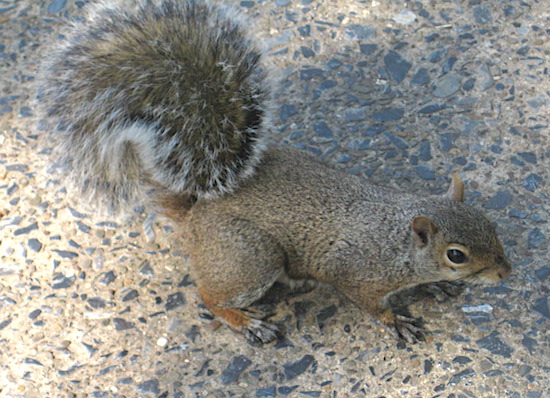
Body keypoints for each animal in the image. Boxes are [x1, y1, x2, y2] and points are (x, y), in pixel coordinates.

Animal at [37, 0, 512, 344]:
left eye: (491, 225)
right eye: (456, 254)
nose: (505, 273)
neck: (397, 241)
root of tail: (195, 213)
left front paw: (434, 288)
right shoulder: (356, 274)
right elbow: (370, 305)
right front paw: (396, 321)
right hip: (250, 257)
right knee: (209, 297)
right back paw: (246, 321)